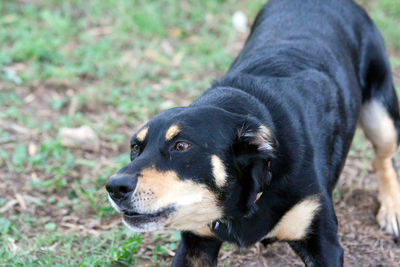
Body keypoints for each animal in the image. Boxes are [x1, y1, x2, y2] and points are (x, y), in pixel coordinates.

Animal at [105, 0, 400, 266]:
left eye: (181, 146)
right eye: (135, 148)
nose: (114, 187)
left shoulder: (323, 243)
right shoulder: (196, 242)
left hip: (382, 118)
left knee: (383, 159)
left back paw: (392, 209)